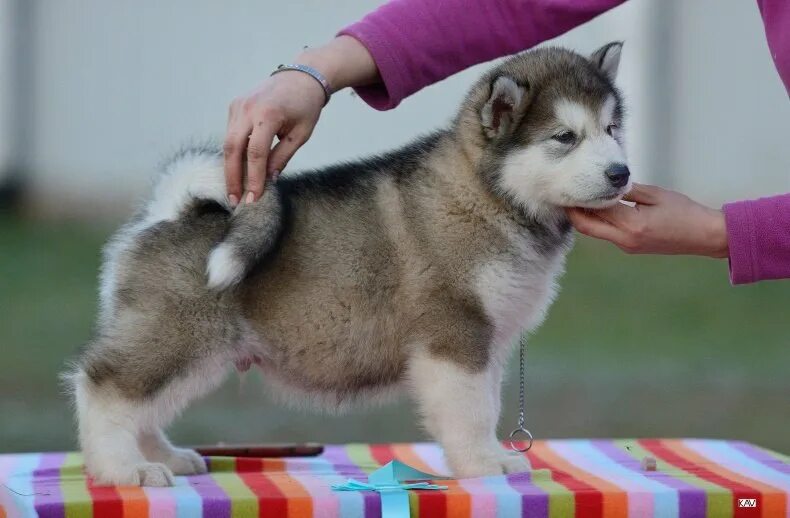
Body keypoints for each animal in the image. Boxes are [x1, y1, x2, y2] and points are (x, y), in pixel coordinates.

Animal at [71, 41, 636, 488]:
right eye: (564, 137)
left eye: (611, 129)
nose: (622, 173)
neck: (491, 197)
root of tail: (169, 213)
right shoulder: (455, 335)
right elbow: (472, 411)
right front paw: (482, 464)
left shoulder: (489, 340)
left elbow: (489, 405)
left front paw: (496, 455)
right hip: (180, 334)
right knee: (104, 388)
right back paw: (124, 469)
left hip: (193, 349)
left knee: (144, 405)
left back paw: (164, 456)